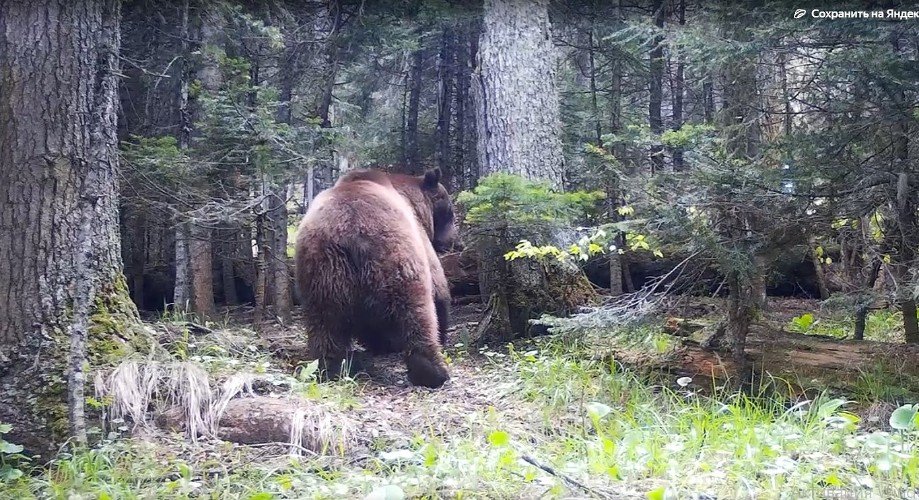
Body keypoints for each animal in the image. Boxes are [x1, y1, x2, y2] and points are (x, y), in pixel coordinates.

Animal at [295, 168, 459, 388]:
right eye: (449, 211)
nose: (454, 242)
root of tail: (350, 230)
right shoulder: (419, 237)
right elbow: (439, 285)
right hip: (397, 257)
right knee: (417, 313)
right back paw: (433, 372)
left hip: (321, 270)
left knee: (324, 322)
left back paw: (329, 368)